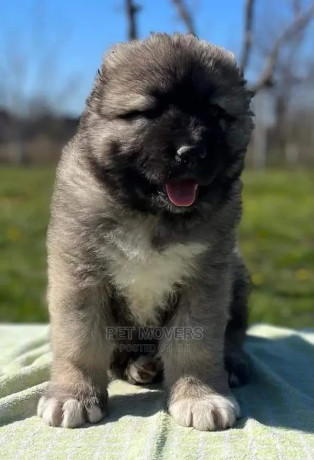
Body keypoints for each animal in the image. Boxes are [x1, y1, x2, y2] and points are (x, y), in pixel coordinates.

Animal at [37, 33, 253, 432]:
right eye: (150, 112)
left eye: (216, 114)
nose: (191, 151)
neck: (151, 215)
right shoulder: (79, 274)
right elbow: (79, 339)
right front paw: (73, 394)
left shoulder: (206, 279)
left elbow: (198, 342)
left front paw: (200, 395)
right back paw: (139, 365)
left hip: (238, 274)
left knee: (234, 332)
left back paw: (231, 362)